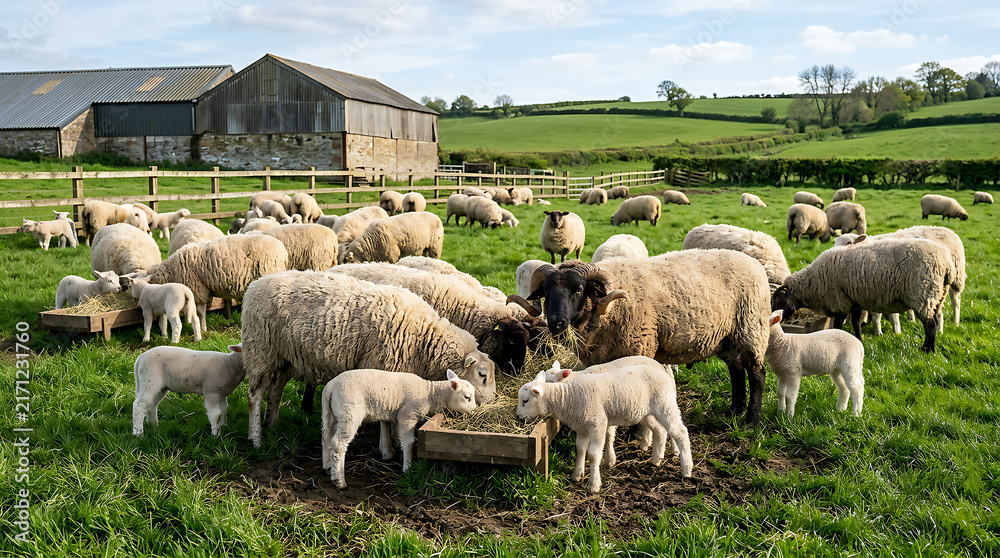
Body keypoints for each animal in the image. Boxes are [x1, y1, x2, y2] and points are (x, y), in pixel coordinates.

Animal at [242, 271, 498, 447]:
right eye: (482, 375)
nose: (490, 403)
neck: (423, 338)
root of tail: (255, 284)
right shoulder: (381, 370)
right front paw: (391, 442)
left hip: (284, 357)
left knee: (275, 391)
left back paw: (272, 426)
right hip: (260, 350)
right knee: (255, 396)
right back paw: (256, 438)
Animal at [321, 369, 476, 488]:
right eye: (467, 397)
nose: (475, 411)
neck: (430, 394)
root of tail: (331, 386)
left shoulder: (397, 416)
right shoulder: (408, 416)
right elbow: (409, 442)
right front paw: (407, 467)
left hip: (331, 414)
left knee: (326, 438)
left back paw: (328, 467)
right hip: (349, 413)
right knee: (339, 443)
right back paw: (339, 480)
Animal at [506, 253, 772, 424]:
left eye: (578, 290)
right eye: (546, 292)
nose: (556, 323)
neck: (607, 310)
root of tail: (755, 264)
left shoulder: (638, 348)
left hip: (752, 328)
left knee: (757, 374)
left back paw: (752, 419)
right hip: (727, 338)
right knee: (736, 370)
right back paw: (734, 410)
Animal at [517, 362, 692, 493]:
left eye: (525, 401)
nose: (518, 417)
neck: (569, 397)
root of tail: (663, 370)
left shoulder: (598, 424)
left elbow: (593, 455)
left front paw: (594, 484)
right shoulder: (581, 427)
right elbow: (580, 449)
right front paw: (577, 474)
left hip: (665, 404)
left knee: (680, 432)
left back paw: (686, 469)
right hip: (646, 412)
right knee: (660, 430)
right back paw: (656, 460)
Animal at [771, 237, 953, 352]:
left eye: (777, 299)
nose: (772, 318)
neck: (811, 283)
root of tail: (948, 264)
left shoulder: (840, 301)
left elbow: (838, 324)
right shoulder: (854, 300)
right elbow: (856, 323)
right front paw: (859, 341)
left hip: (923, 294)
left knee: (930, 325)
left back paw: (927, 350)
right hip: (937, 295)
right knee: (936, 320)